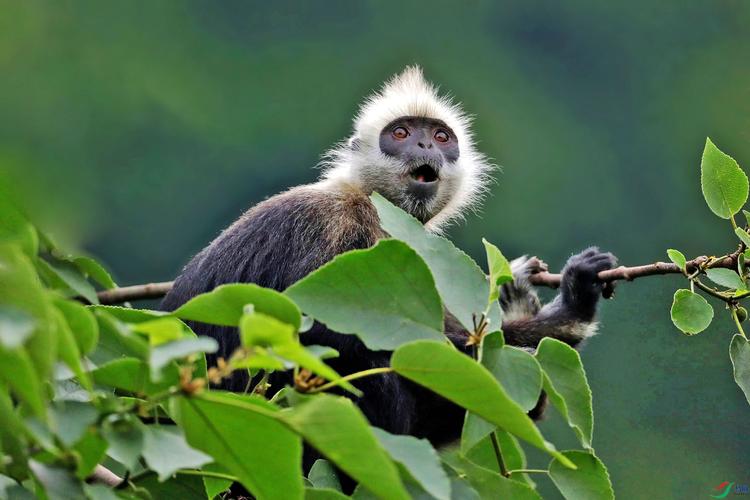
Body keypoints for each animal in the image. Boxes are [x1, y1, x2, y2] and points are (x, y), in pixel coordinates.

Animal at [160, 64, 616, 452]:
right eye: (400, 133)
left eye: (441, 137)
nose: (424, 143)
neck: (374, 206)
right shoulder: (329, 224)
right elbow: (312, 327)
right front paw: (565, 310)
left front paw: (534, 302)